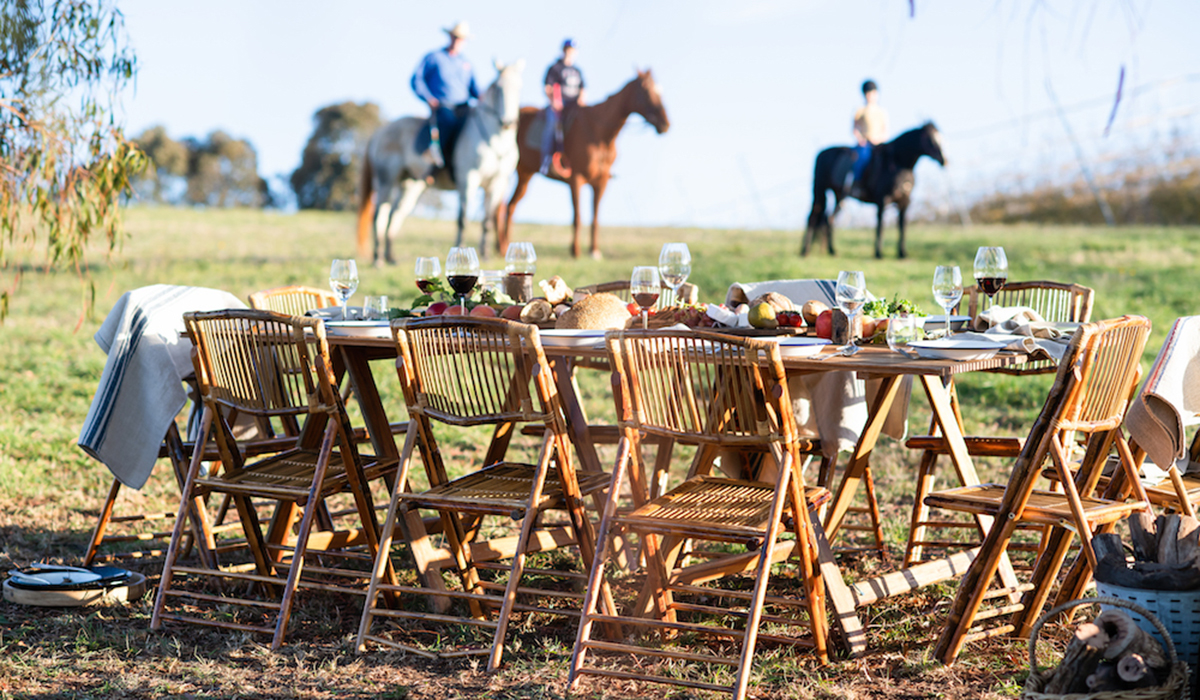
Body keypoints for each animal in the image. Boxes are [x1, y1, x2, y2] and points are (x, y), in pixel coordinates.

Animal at [355, 58, 525, 262]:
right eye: (499, 89)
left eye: (519, 87)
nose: (508, 122)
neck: (496, 141)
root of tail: (380, 132)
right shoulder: (468, 180)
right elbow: (462, 219)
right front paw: (461, 252)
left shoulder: (497, 183)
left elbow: (486, 222)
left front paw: (485, 255)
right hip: (386, 181)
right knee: (378, 214)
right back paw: (377, 258)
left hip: (410, 185)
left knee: (395, 214)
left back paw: (390, 257)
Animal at [501, 70, 672, 260]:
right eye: (647, 91)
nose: (665, 124)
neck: (599, 135)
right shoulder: (576, 179)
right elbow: (578, 217)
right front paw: (575, 251)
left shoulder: (601, 182)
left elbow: (595, 218)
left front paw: (594, 251)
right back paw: (503, 247)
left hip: (525, 174)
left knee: (510, 207)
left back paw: (505, 246)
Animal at [806, 122, 945, 260]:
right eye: (930, 139)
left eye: (940, 137)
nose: (944, 160)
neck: (899, 165)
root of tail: (821, 153)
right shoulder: (882, 199)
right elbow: (880, 225)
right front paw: (878, 253)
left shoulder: (905, 201)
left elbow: (902, 226)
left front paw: (902, 253)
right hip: (820, 190)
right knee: (813, 216)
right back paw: (805, 251)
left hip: (840, 196)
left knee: (829, 220)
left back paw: (832, 251)